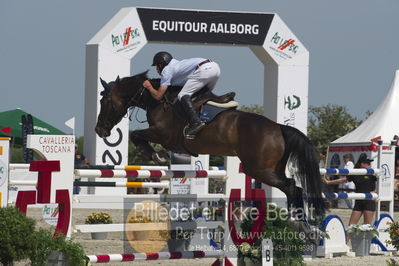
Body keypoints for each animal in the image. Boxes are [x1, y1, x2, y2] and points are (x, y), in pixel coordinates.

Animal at [96, 71, 324, 240]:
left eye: (105, 101)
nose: (100, 130)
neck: (157, 101)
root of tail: (279, 128)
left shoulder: (164, 135)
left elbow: (136, 135)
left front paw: (155, 156)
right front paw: (155, 156)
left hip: (258, 170)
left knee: (292, 186)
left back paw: (299, 224)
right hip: (270, 168)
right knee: (294, 187)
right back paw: (306, 227)